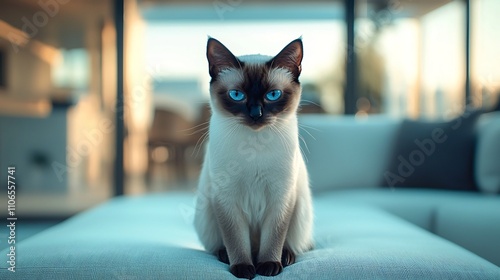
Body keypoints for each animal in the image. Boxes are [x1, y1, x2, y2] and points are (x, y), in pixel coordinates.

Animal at [195, 38, 312, 278]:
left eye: (273, 95)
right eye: (237, 95)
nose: (256, 114)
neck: (254, 147)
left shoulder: (280, 198)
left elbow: (273, 238)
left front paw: (268, 266)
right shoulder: (226, 199)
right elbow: (236, 241)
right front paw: (243, 269)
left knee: (291, 244)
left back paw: (285, 257)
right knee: (223, 246)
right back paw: (226, 256)